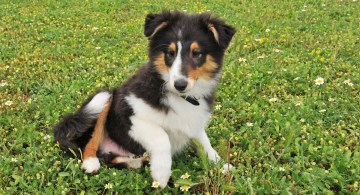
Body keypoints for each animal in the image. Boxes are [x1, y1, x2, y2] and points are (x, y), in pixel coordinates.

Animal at [52, 10, 235, 187]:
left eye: (196, 53)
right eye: (170, 53)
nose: (179, 84)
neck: (180, 96)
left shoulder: (194, 121)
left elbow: (204, 142)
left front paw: (220, 164)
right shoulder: (130, 114)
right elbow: (162, 136)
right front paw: (161, 174)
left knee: (112, 160)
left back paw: (139, 160)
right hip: (104, 96)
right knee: (90, 142)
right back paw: (91, 163)